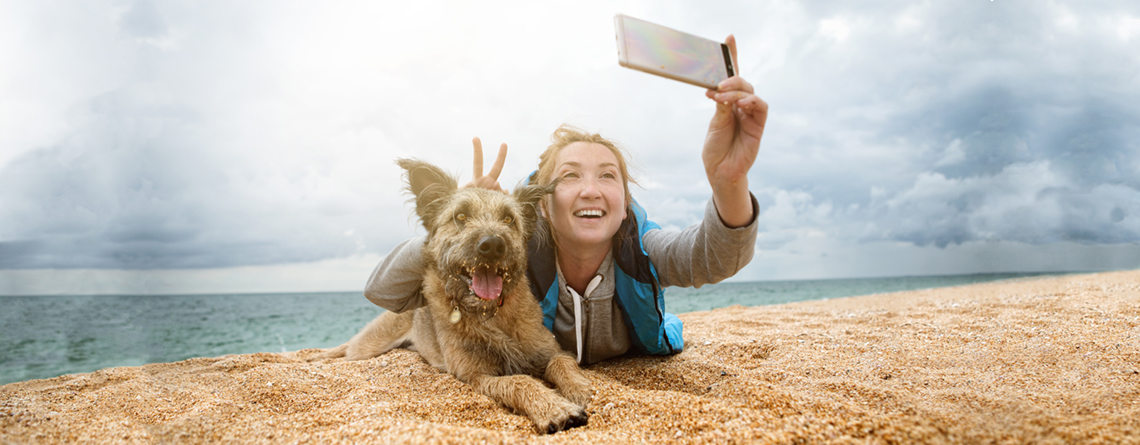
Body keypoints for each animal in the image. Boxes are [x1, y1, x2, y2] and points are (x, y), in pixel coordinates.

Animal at [319, 158, 592, 433]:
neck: (490, 314)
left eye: (508, 219)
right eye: (460, 216)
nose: (493, 245)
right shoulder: (477, 376)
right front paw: (554, 408)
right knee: (347, 348)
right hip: (368, 347)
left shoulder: (552, 351)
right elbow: (519, 381)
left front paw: (581, 389)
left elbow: (562, 363)